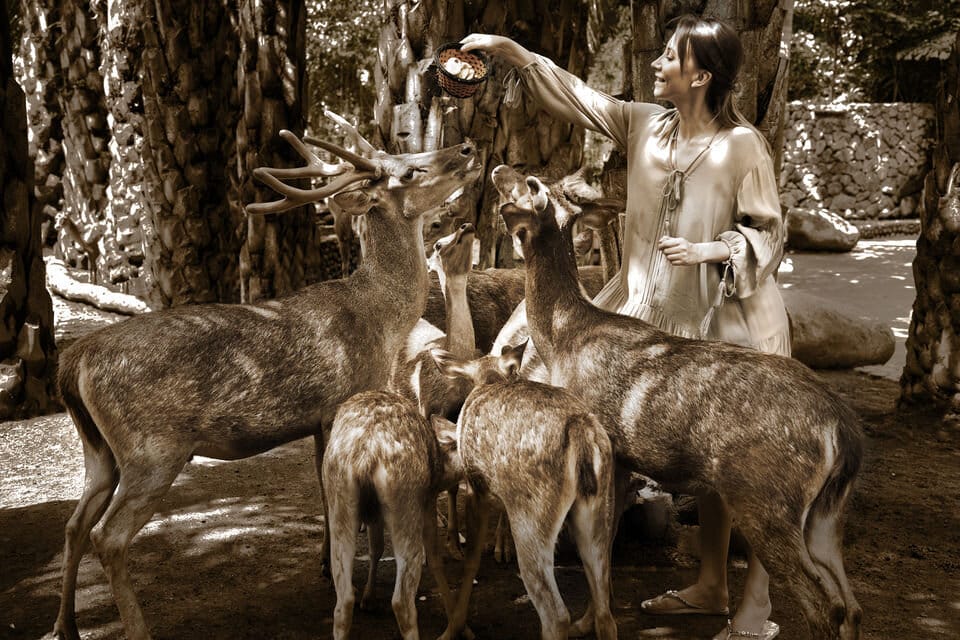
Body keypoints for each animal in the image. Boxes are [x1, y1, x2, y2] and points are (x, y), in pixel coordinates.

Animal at [322, 389, 468, 640]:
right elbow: (434, 558)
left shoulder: (373, 515)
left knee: (343, 601)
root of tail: (366, 454)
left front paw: (369, 599)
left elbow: (376, 548)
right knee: (402, 602)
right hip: (405, 500)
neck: (441, 470)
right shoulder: (427, 501)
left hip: (339, 498)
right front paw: (460, 629)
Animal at [431, 342, 618, 640]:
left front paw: (452, 629)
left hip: (532, 515)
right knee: (605, 612)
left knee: (556, 616)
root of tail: (581, 430)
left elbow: (472, 559)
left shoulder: (476, 484)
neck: (489, 380)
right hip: (600, 509)